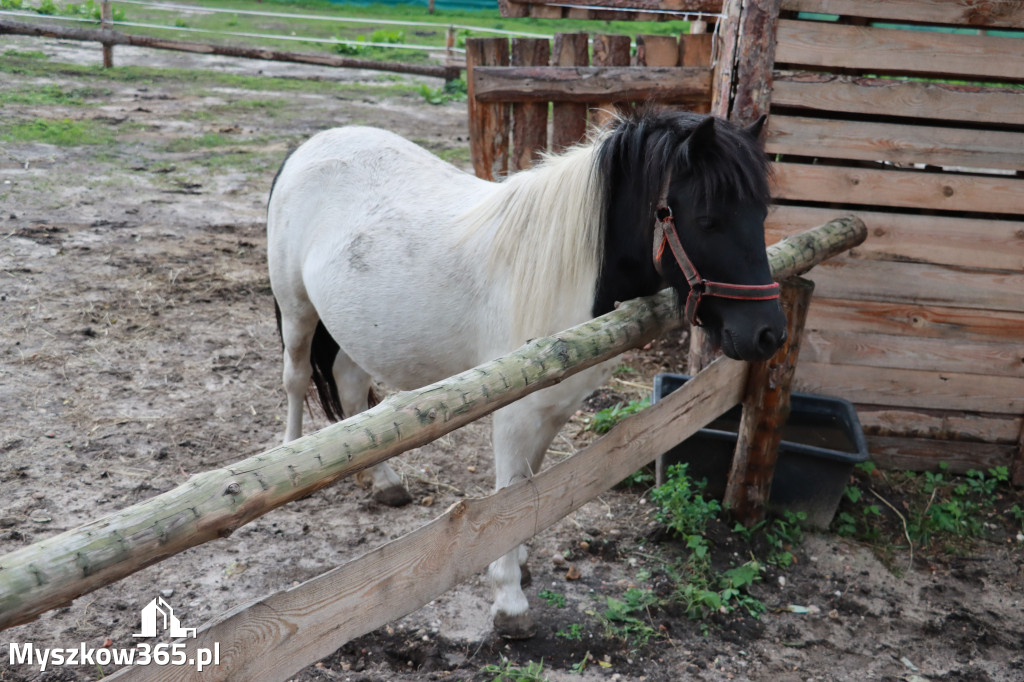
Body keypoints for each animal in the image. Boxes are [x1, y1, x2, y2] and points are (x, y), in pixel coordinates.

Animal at [264, 109, 782, 634]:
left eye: (761, 214)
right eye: (707, 220)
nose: (768, 334)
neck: (570, 269)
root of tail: (308, 147)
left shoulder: (552, 407)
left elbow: (529, 487)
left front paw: (520, 562)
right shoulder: (514, 411)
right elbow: (510, 494)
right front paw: (509, 600)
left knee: (350, 388)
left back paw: (382, 481)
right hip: (298, 309)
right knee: (295, 379)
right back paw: (291, 460)